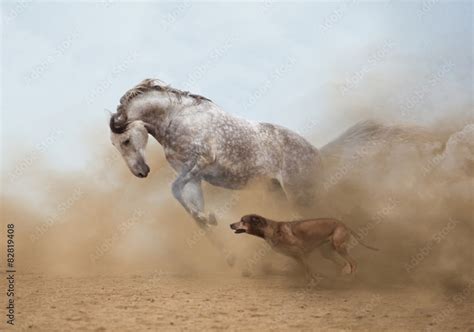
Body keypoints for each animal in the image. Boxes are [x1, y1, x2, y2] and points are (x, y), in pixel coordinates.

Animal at [108, 79, 322, 228]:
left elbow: (174, 189)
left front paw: (206, 218)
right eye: (115, 145)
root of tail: (315, 153)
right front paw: (206, 222)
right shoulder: (193, 178)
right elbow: (184, 199)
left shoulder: (201, 161)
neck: (175, 119)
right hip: (277, 192)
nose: (140, 172)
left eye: (125, 141)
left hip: (298, 193)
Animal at [230, 213, 378, 278]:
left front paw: (312, 279)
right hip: (327, 252)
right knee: (342, 264)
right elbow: (305, 269)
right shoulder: (296, 257)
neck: (272, 230)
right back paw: (338, 277)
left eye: (242, 221)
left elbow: (308, 269)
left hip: (339, 246)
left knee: (353, 263)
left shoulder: (301, 253)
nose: (230, 224)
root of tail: (344, 224)